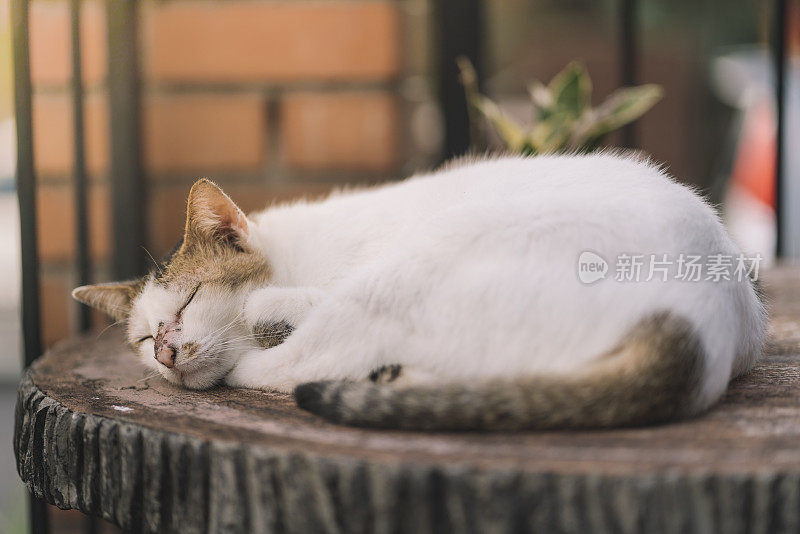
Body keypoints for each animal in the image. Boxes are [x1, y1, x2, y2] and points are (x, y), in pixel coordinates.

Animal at [75, 154, 768, 432]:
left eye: (188, 304)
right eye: (143, 337)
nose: (164, 352)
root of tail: (698, 321)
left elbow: (276, 319)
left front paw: (264, 314)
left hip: (413, 267)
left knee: (294, 364)